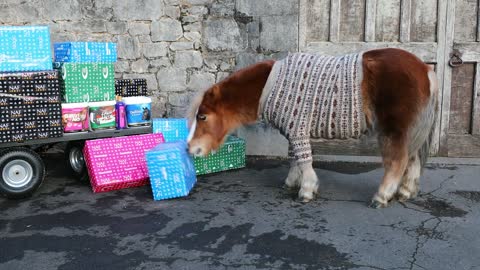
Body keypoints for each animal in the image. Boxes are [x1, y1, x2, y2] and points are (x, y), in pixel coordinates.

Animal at [187, 48, 438, 208]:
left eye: (202, 116)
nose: (190, 149)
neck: (270, 85)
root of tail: (425, 69)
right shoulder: (294, 132)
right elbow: (295, 159)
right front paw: (291, 183)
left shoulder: (298, 131)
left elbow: (304, 161)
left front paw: (306, 191)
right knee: (413, 160)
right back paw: (405, 192)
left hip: (393, 130)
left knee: (398, 161)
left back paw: (382, 196)